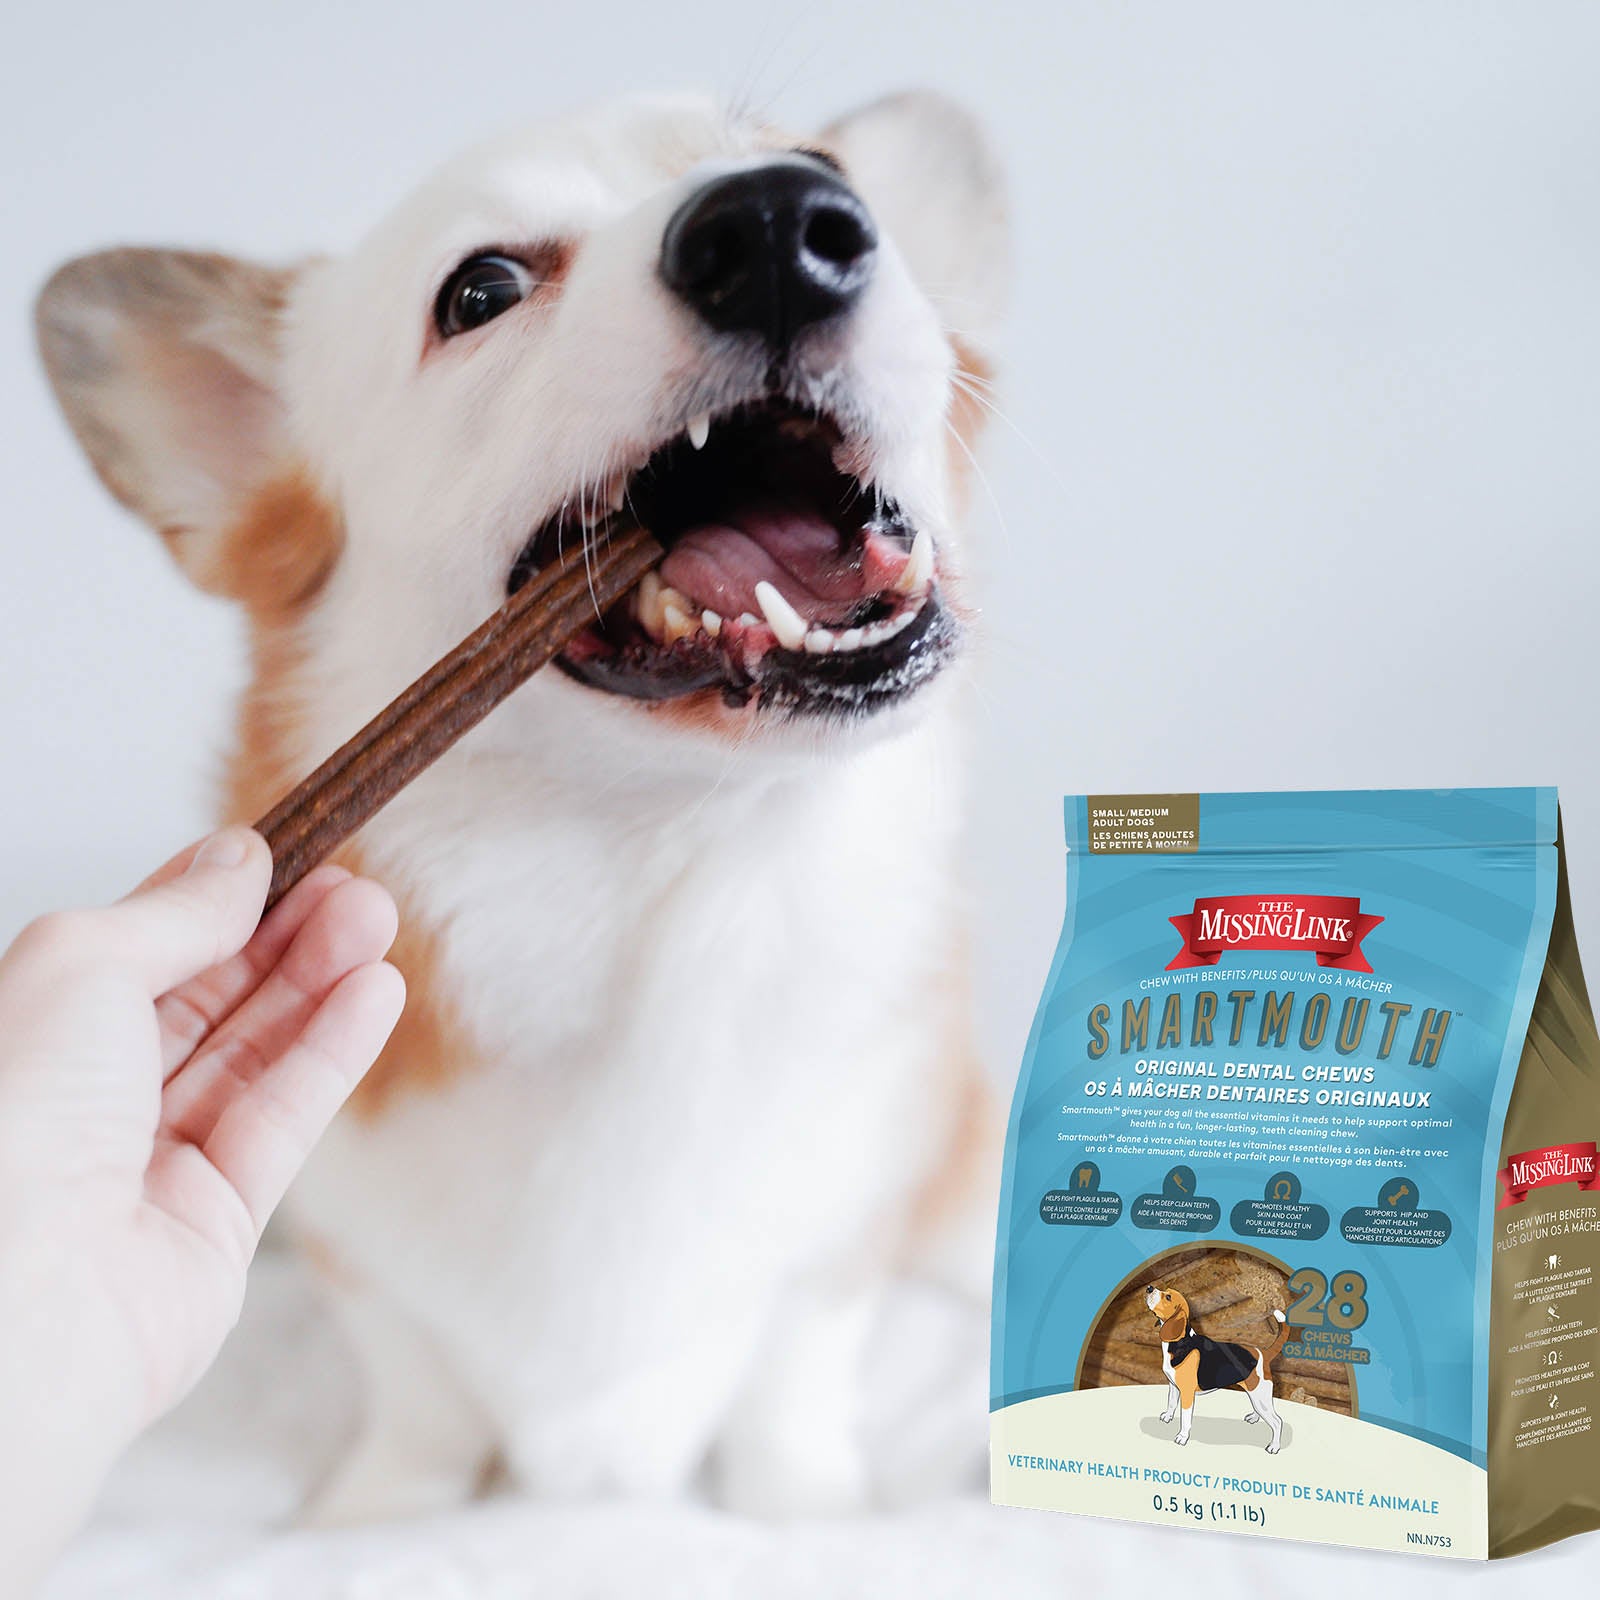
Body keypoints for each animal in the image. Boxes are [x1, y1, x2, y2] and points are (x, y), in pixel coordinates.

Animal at [34, 90, 1011, 1523]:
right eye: (480, 290)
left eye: (824, 168)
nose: (779, 223)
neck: (640, 885)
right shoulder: (360, 1258)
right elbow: (419, 1390)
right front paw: (383, 1509)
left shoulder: (850, 1225)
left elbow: (793, 1371)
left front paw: (798, 1504)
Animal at [1145, 1280, 1292, 1459]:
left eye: (1168, 1297)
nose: (1149, 1288)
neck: (1180, 1342)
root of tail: (1263, 1352)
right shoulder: (1173, 1386)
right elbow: (1171, 1403)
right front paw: (1167, 1417)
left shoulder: (1187, 1393)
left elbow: (1185, 1418)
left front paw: (1182, 1437)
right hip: (1256, 1395)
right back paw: (1254, 1418)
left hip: (1260, 1395)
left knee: (1277, 1422)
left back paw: (1274, 1447)